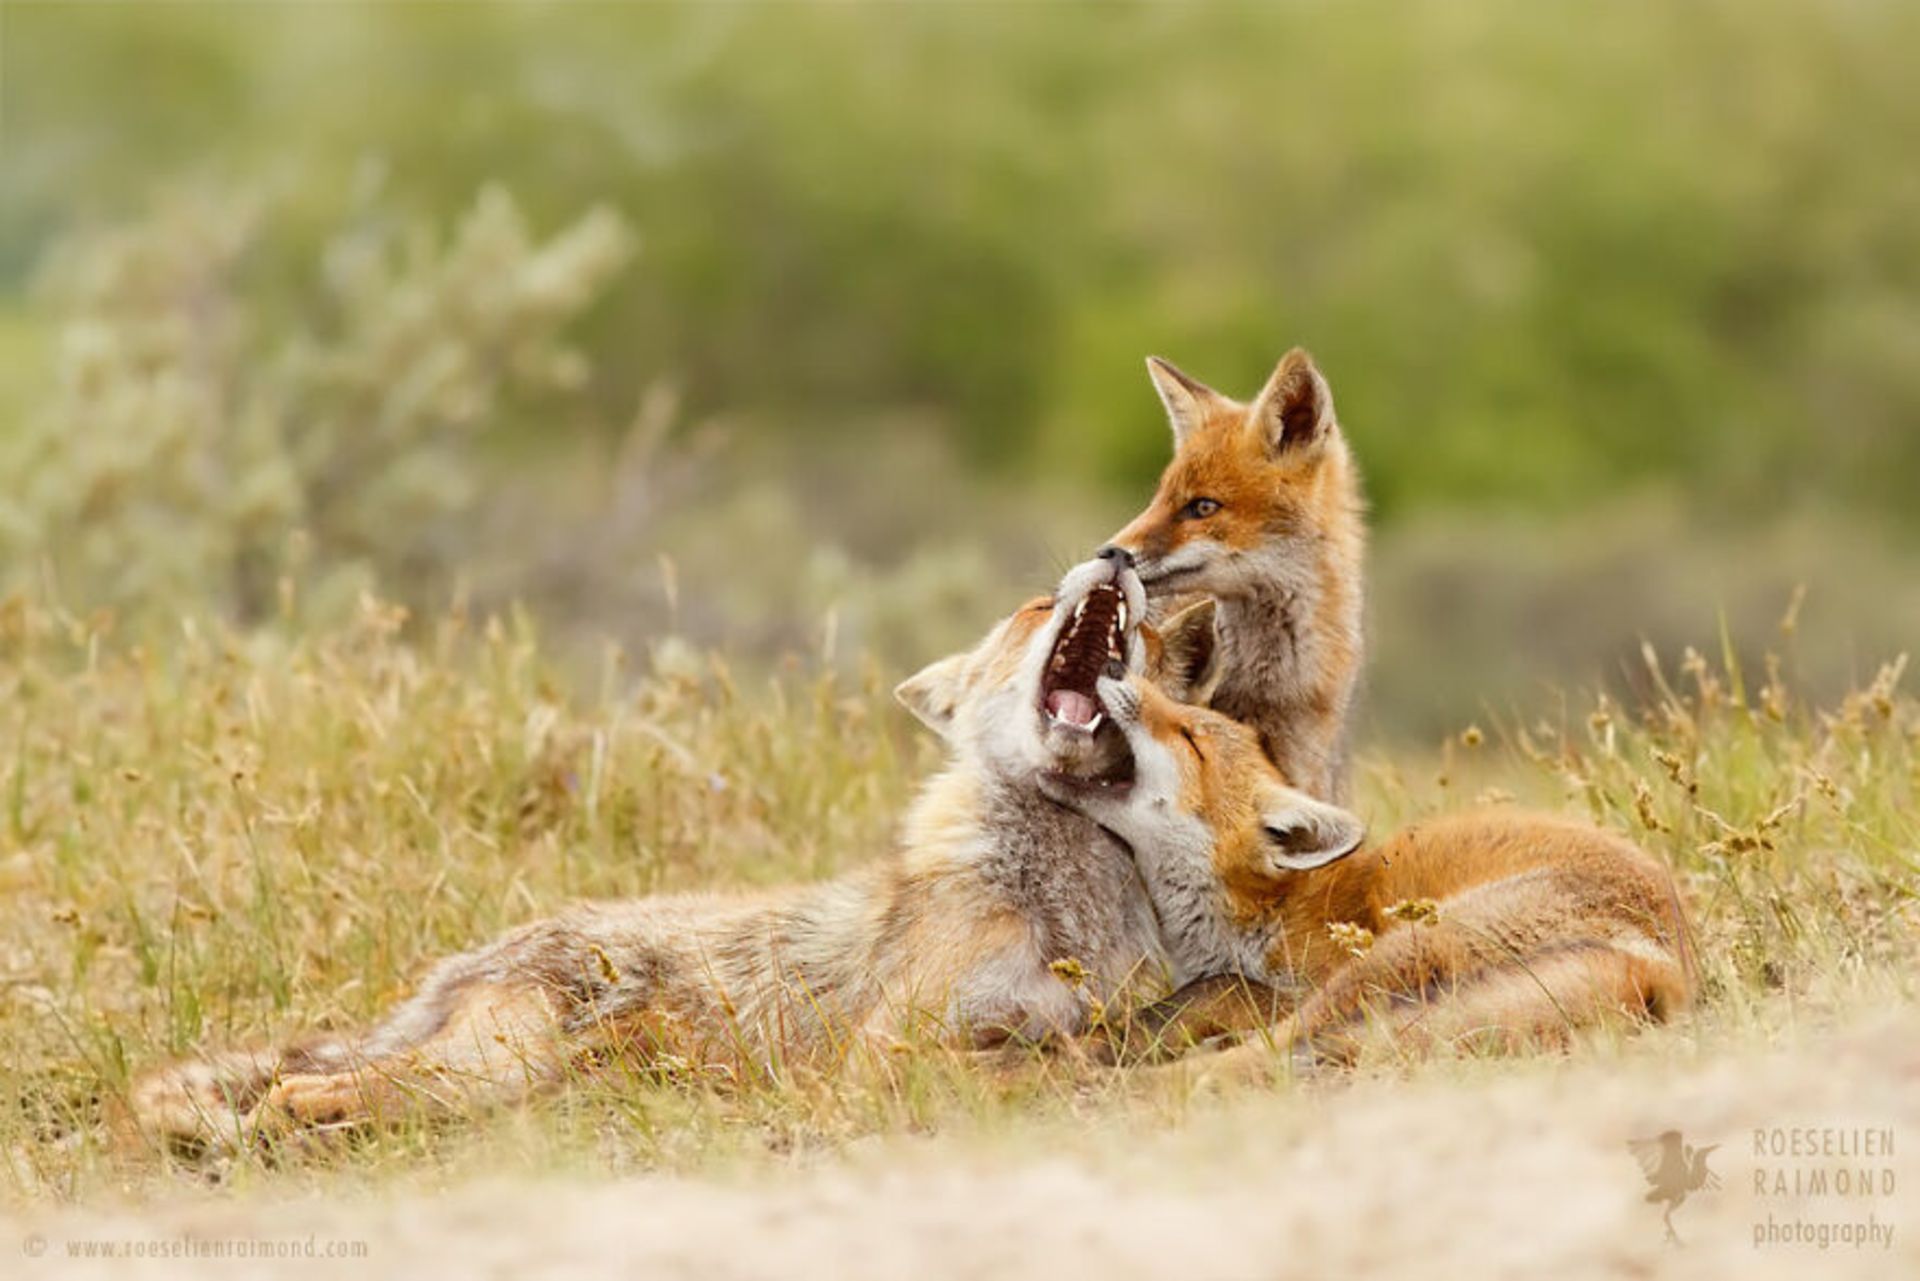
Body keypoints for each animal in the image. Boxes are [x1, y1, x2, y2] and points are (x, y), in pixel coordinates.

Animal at [131, 560, 1213, 1152]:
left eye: (1150, 629)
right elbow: (1036, 1061)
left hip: (514, 1075)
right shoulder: (886, 1053)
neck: (1061, 905)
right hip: (499, 1067)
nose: (1118, 555)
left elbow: (1093, 1043)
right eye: (1037, 604)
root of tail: (466, 964)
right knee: (309, 1090)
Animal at [1052, 668, 1697, 1067]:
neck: (1261, 913)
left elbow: (1221, 991)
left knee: (1275, 1051)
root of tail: (1671, 967)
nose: (1114, 665)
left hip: (1395, 956)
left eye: (1189, 737)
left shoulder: (1299, 977)